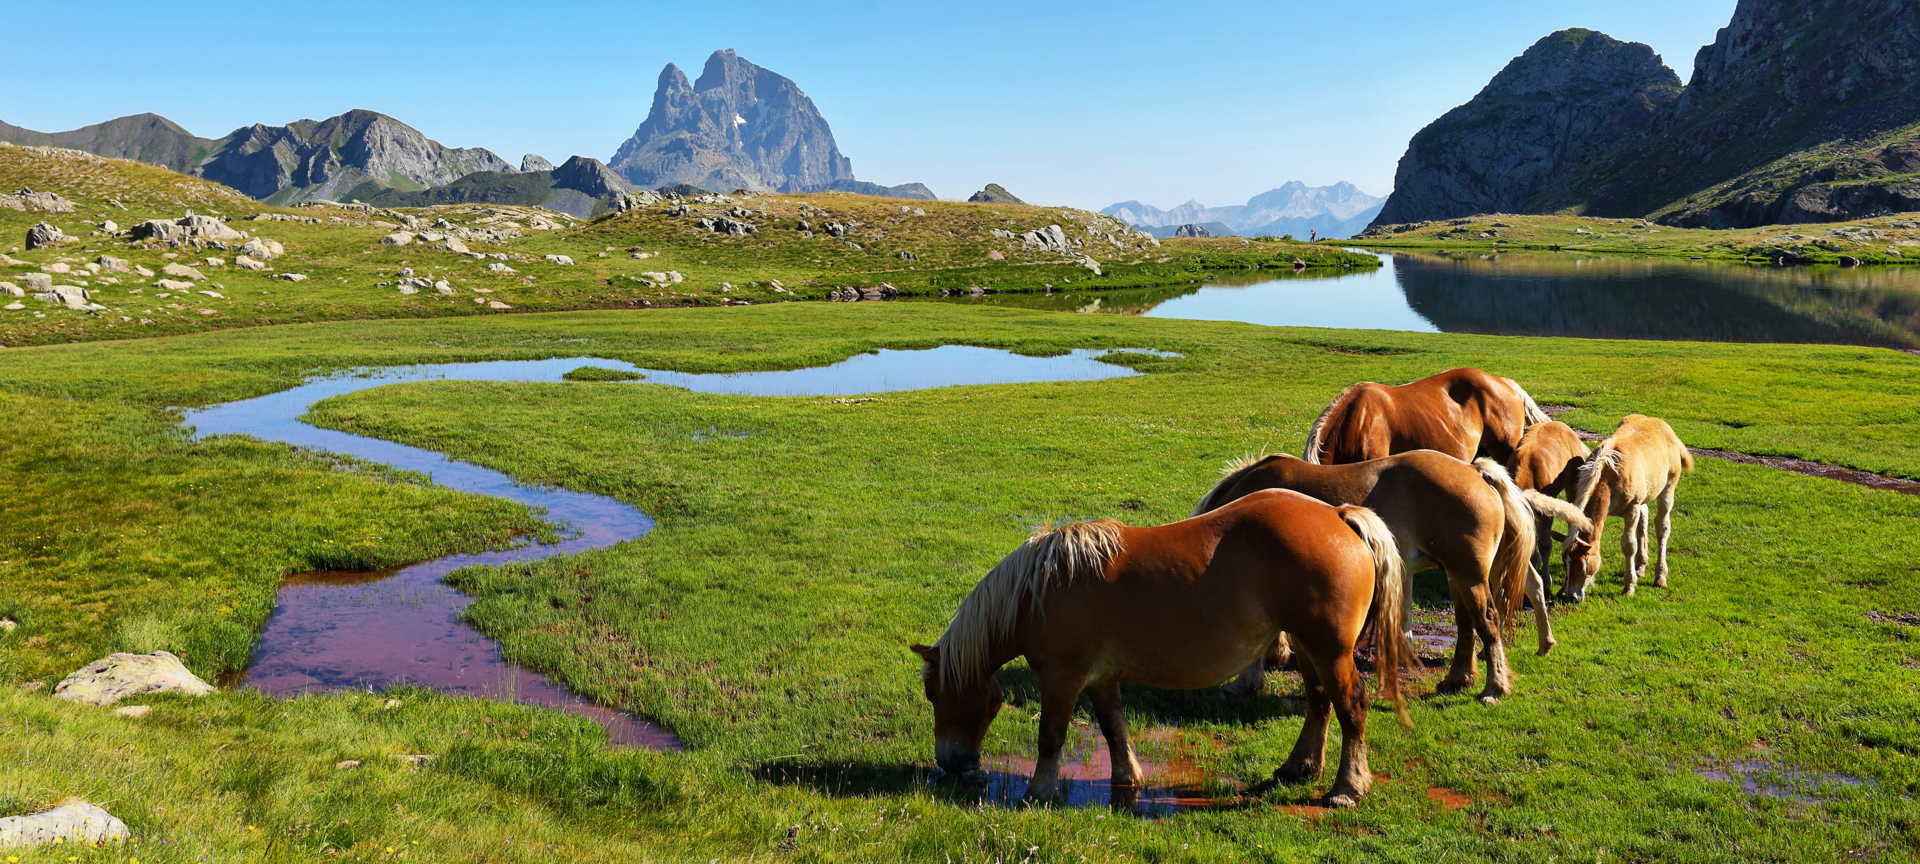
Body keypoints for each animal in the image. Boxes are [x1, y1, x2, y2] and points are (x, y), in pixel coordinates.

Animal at [912, 489, 1412, 808]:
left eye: (934, 693)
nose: (949, 764)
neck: (1041, 587)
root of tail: (1339, 515)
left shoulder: (1062, 677)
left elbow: (1051, 737)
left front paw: (1038, 793)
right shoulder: (1100, 679)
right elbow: (1114, 728)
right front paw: (1127, 779)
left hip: (1330, 652)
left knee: (1351, 708)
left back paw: (1347, 788)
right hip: (1310, 651)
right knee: (1318, 703)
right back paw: (1298, 767)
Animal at [1191, 450, 1548, 703]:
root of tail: (1475, 471)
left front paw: (1245, 682)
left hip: (1469, 575)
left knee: (1487, 623)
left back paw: (1494, 688)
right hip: (1460, 575)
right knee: (1467, 626)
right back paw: (1458, 679)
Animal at [1562, 415, 1694, 600]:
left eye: (1581, 567)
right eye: (1564, 563)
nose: (1570, 596)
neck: (1608, 474)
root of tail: (1666, 428)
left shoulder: (1632, 508)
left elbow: (1629, 544)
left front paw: (1629, 586)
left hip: (1668, 489)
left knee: (1662, 527)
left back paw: (1660, 576)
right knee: (1644, 518)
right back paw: (1640, 566)